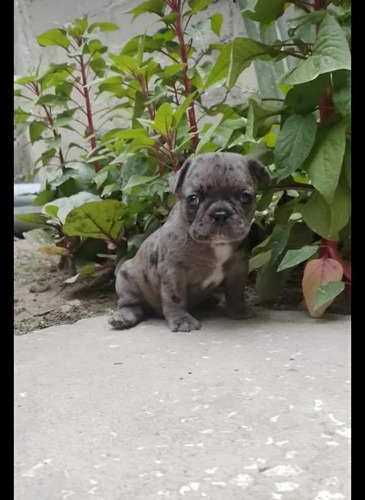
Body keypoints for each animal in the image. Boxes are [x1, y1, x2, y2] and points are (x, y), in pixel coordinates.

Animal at [109, 152, 270, 332]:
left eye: (245, 197)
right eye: (193, 199)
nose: (220, 214)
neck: (215, 245)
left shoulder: (237, 268)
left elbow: (236, 291)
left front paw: (239, 310)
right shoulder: (173, 273)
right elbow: (175, 297)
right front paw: (182, 320)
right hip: (126, 277)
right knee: (131, 305)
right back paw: (123, 317)